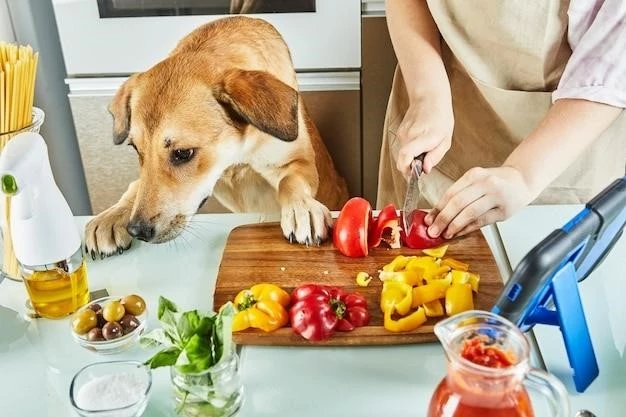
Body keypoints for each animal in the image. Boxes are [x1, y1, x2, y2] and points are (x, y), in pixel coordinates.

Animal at [83, 15, 348, 256]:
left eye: (183, 153)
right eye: (137, 150)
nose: (137, 230)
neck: (235, 161)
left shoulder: (296, 161)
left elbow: (290, 183)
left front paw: (301, 209)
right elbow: (136, 185)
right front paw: (111, 215)